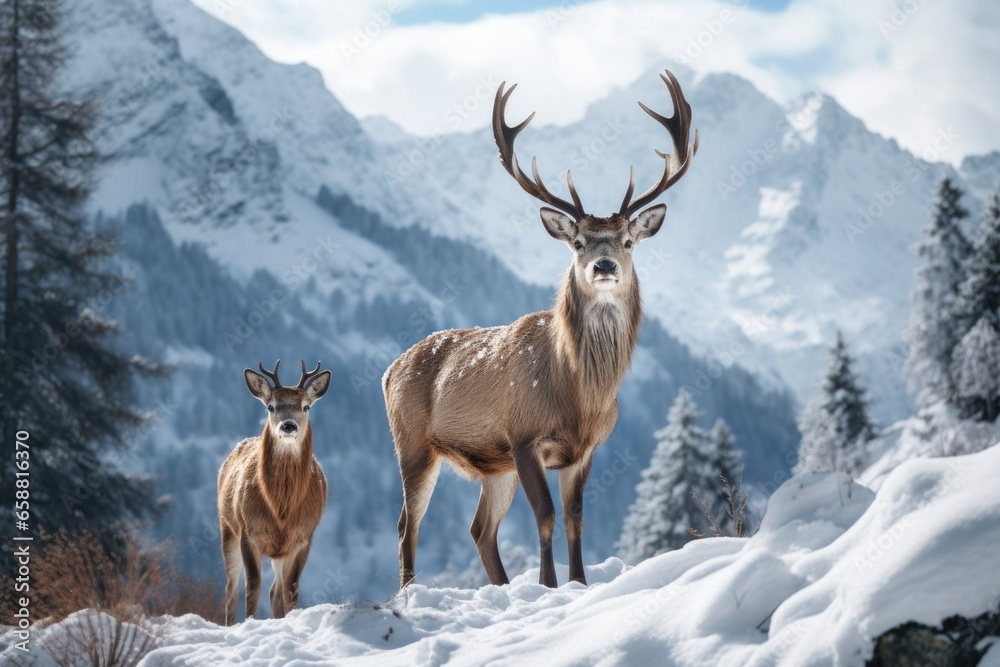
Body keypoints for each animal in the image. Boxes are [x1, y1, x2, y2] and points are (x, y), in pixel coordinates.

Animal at [217, 360, 330, 628]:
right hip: (227, 528)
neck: (281, 509)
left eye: (306, 406)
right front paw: (250, 621)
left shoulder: (303, 537)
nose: (288, 425)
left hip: (280, 550)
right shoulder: (248, 531)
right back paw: (230, 624)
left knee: (275, 591)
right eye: (271, 406)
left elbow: (291, 587)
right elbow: (252, 585)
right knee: (231, 587)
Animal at [380, 69, 696, 588]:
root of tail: (388, 371)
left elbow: (575, 517)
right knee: (409, 523)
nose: (604, 265)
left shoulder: (584, 450)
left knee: (478, 528)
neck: (579, 397)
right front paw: (549, 585)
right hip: (413, 442)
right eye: (578, 242)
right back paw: (410, 593)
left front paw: (579, 584)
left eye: (629, 240)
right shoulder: (525, 436)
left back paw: (503, 587)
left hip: (493, 465)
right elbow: (545, 516)